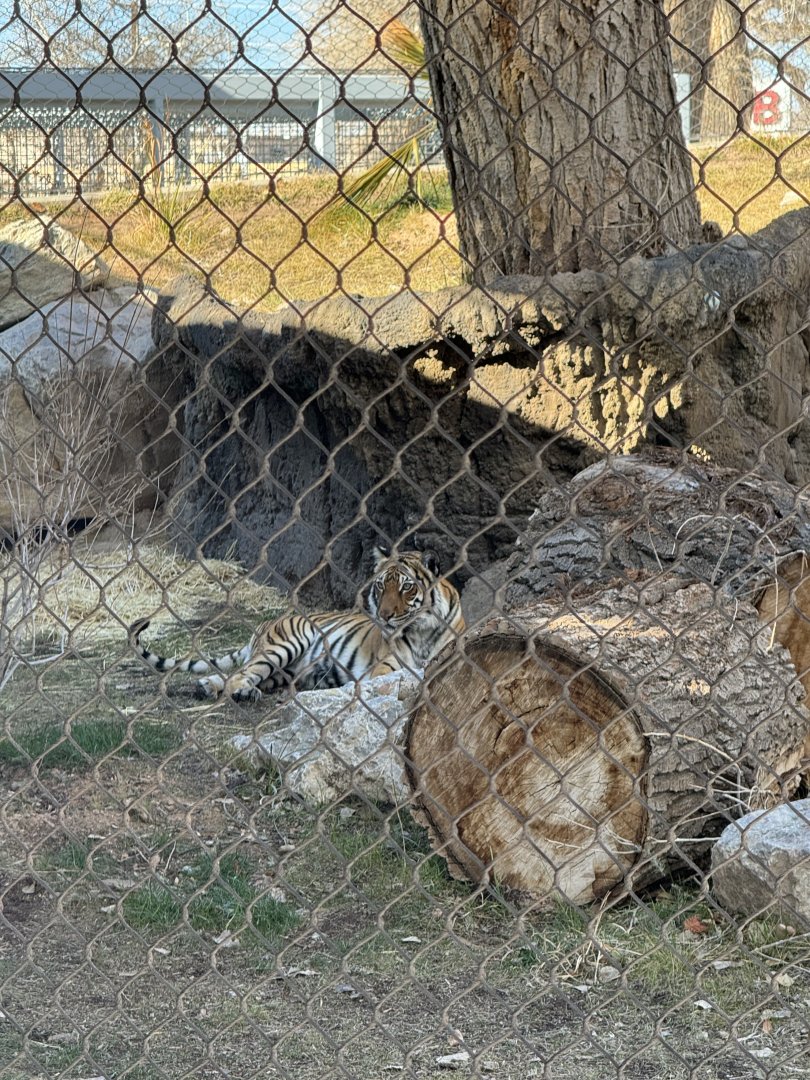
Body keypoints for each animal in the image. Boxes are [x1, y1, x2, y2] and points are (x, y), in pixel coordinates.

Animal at [128, 548, 465, 703]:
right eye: (381, 586)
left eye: (406, 587)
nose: (383, 615)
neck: (422, 630)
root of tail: (265, 624)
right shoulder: (384, 667)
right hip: (285, 646)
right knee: (240, 675)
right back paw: (238, 692)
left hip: (285, 672)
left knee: (241, 674)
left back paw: (208, 686)